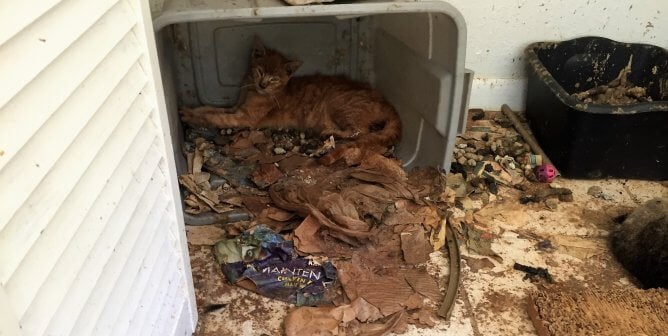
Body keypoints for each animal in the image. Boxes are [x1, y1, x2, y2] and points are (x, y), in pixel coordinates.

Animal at [179, 38, 402, 164]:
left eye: (274, 79)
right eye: (260, 71)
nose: (262, 84)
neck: (251, 90)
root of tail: (384, 100)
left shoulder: (244, 118)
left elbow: (214, 117)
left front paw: (188, 115)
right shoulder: (235, 108)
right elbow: (210, 109)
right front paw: (191, 110)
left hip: (339, 105)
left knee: (360, 131)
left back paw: (330, 132)